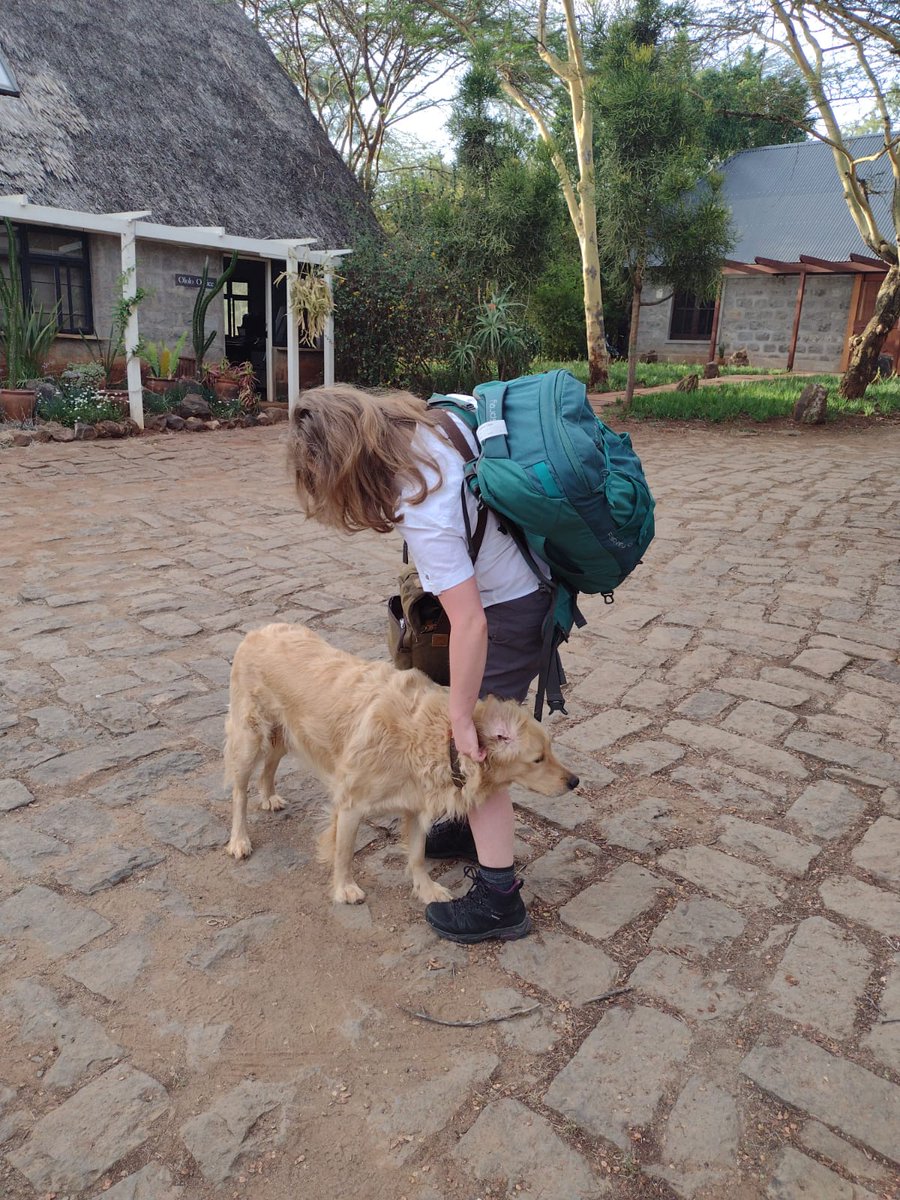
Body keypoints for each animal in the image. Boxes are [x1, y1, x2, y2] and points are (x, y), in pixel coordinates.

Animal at [224, 624, 578, 902]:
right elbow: (343, 851)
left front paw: (426, 889)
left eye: (551, 749)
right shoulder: (351, 804)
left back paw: (269, 796)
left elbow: (418, 855)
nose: (574, 782)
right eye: (538, 758)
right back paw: (239, 840)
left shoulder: (417, 806)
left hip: (284, 733)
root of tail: (258, 630)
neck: (433, 737)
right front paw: (344, 887)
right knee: (239, 792)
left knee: (270, 764)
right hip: (249, 738)